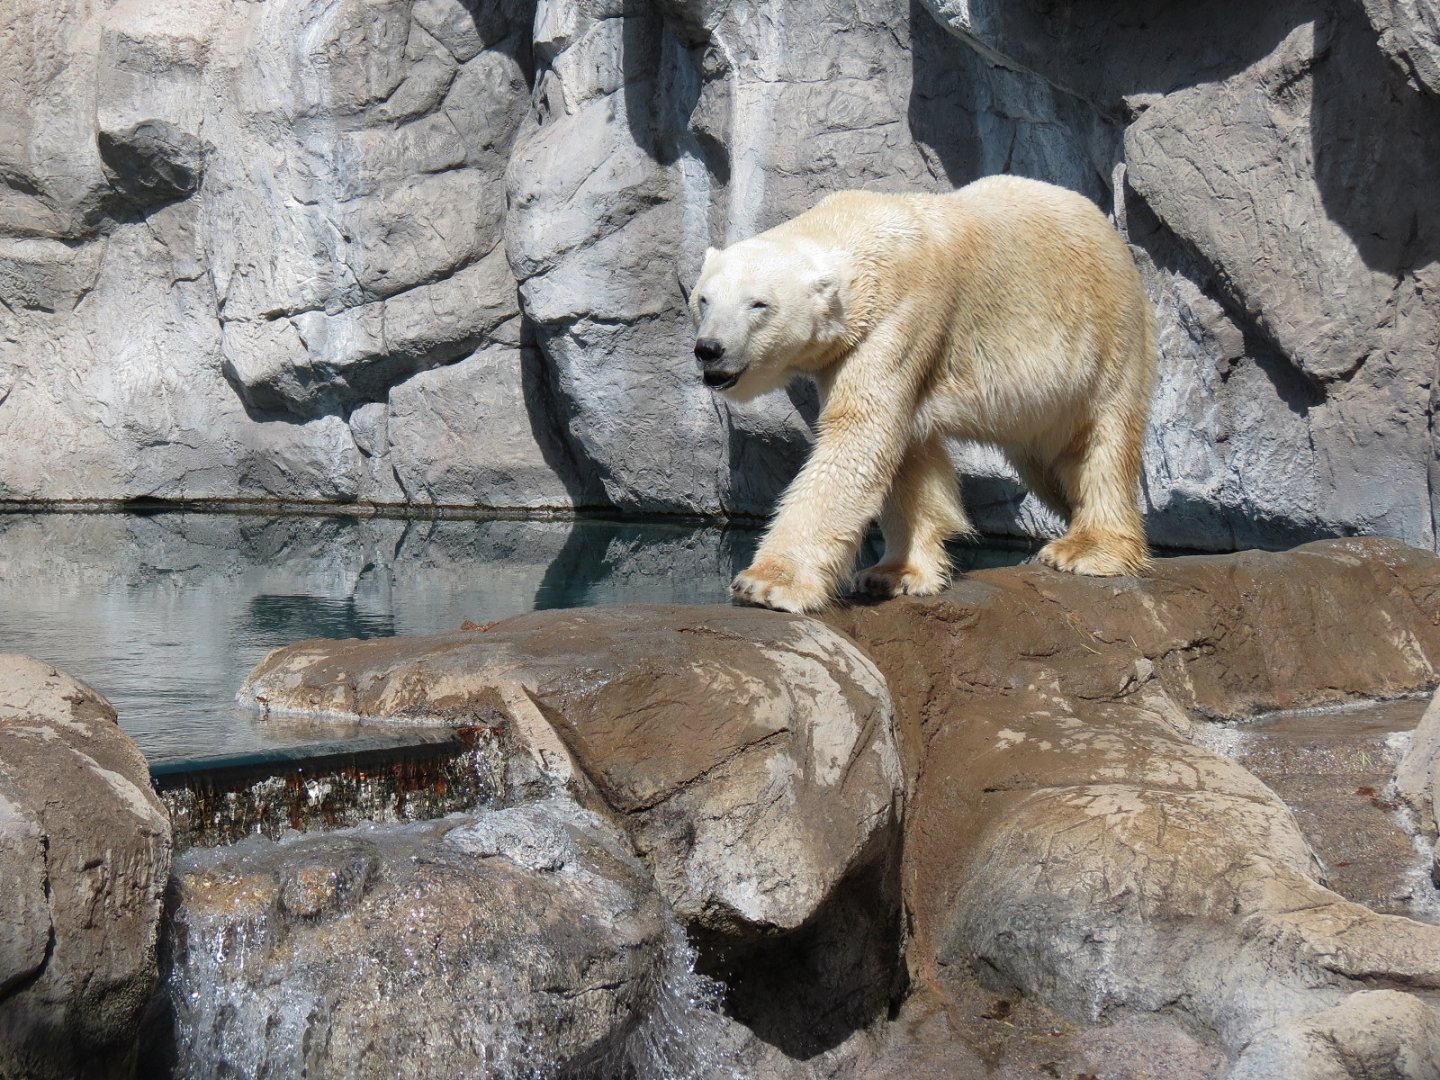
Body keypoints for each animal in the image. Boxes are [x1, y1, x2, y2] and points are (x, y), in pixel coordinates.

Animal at [689, 174, 1156, 614]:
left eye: (758, 304)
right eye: (704, 299)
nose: (709, 348)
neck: (861, 230)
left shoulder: (902, 316)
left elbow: (859, 436)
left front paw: (766, 583)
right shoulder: (857, 346)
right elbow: (908, 454)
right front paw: (897, 573)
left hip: (1107, 329)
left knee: (1098, 438)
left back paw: (1088, 549)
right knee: (1046, 461)